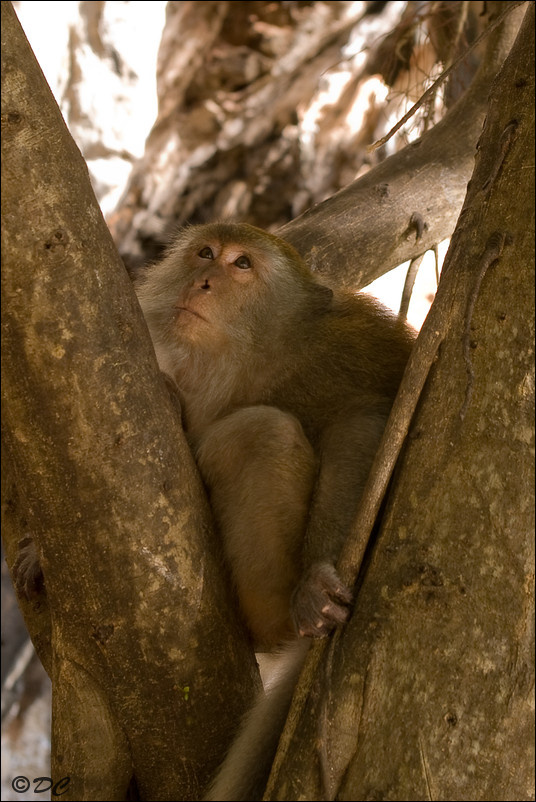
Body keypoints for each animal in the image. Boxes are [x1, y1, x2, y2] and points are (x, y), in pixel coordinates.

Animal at [134, 222, 415, 800]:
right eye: (205, 253)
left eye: (242, 265)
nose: (202, 281)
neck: (249, 360)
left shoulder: (337, 354)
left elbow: (365, 417)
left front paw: (316, 584)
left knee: (262, 432)